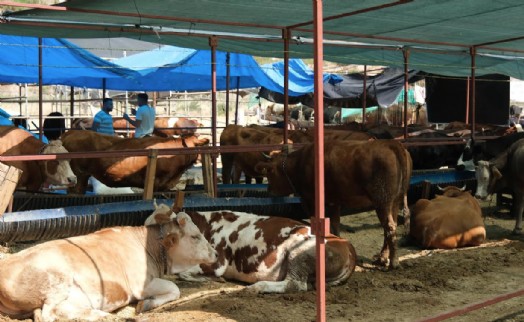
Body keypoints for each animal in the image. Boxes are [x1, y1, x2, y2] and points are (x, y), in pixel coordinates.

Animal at [0, 203, 216, 320]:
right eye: (195, 236)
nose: (215, 253)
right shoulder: (140, 284)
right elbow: (175, 288)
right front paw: (146, 304)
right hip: (58, 281)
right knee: (49, 313)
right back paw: (104, 316)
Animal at [174, 208, 358, 294]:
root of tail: (347, 245)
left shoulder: (218, 262)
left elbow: (183, 273)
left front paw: (212, 279)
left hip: (299, 253)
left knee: (295, 284)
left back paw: (256, 287)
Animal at [255, 139, 414, 270]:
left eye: (269, 172)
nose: (269, 190)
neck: (299, 164)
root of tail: (391, 144)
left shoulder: (311, 201)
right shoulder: (335, 202)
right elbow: (335, 224)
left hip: (382, 201)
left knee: (390, 227)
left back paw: (393, 262)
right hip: (394, 201)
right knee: (389, 227)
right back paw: (382, 258)